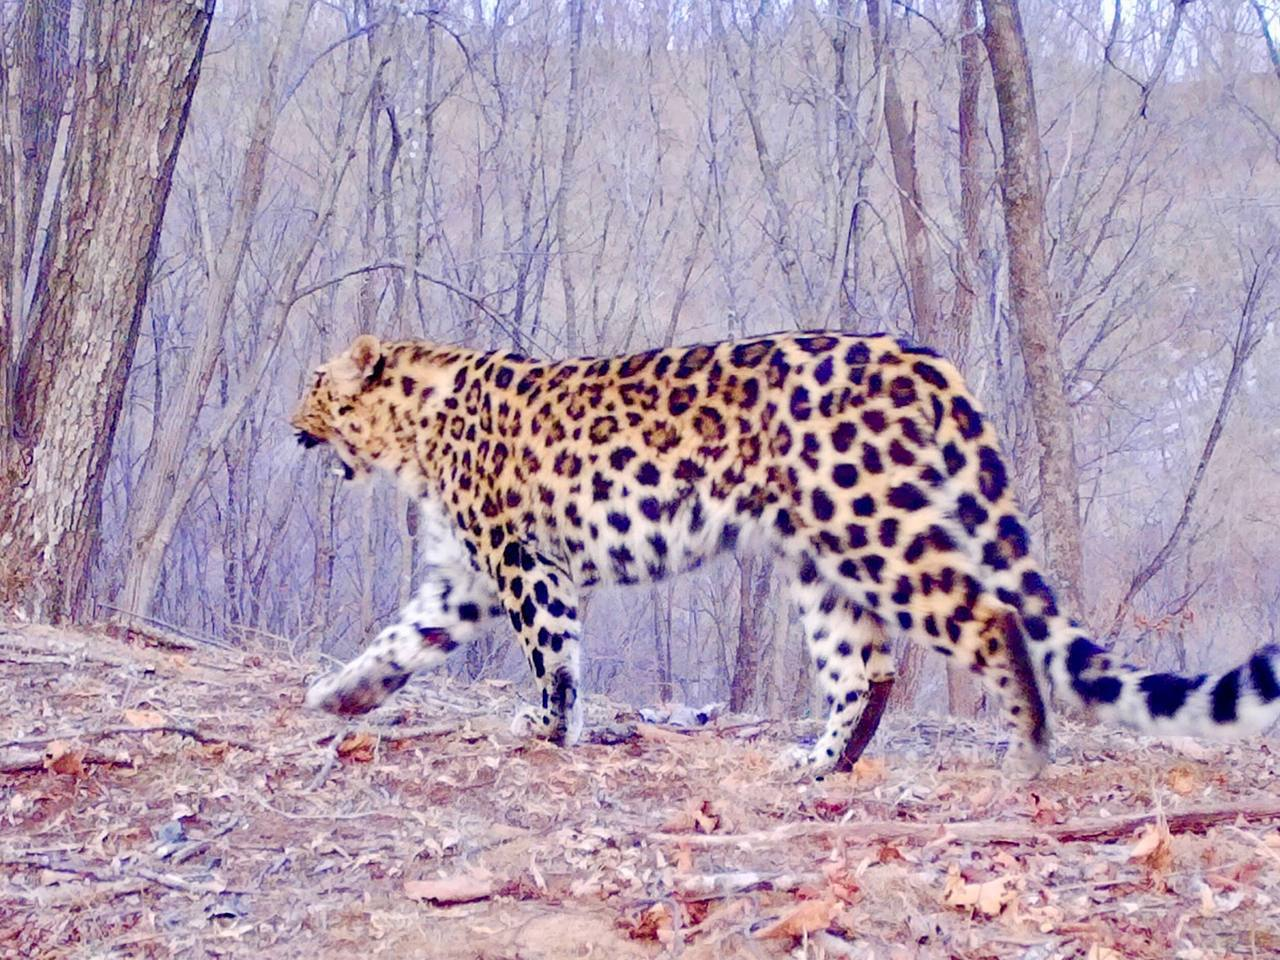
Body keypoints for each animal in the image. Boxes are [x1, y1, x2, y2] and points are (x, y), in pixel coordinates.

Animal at [293, 332, 1280, 783]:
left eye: (315, 384)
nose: (292, 426)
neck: (412, 432)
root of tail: (918, 355)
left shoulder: (521, 558)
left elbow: (553, 652)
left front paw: (549, 727)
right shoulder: (463, 577)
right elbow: (402, 639)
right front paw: (340, 695)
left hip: (875, 526)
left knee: (988, 618)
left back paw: (1027, 752)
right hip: (824, 563)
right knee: (868, 668)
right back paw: (819, 763)